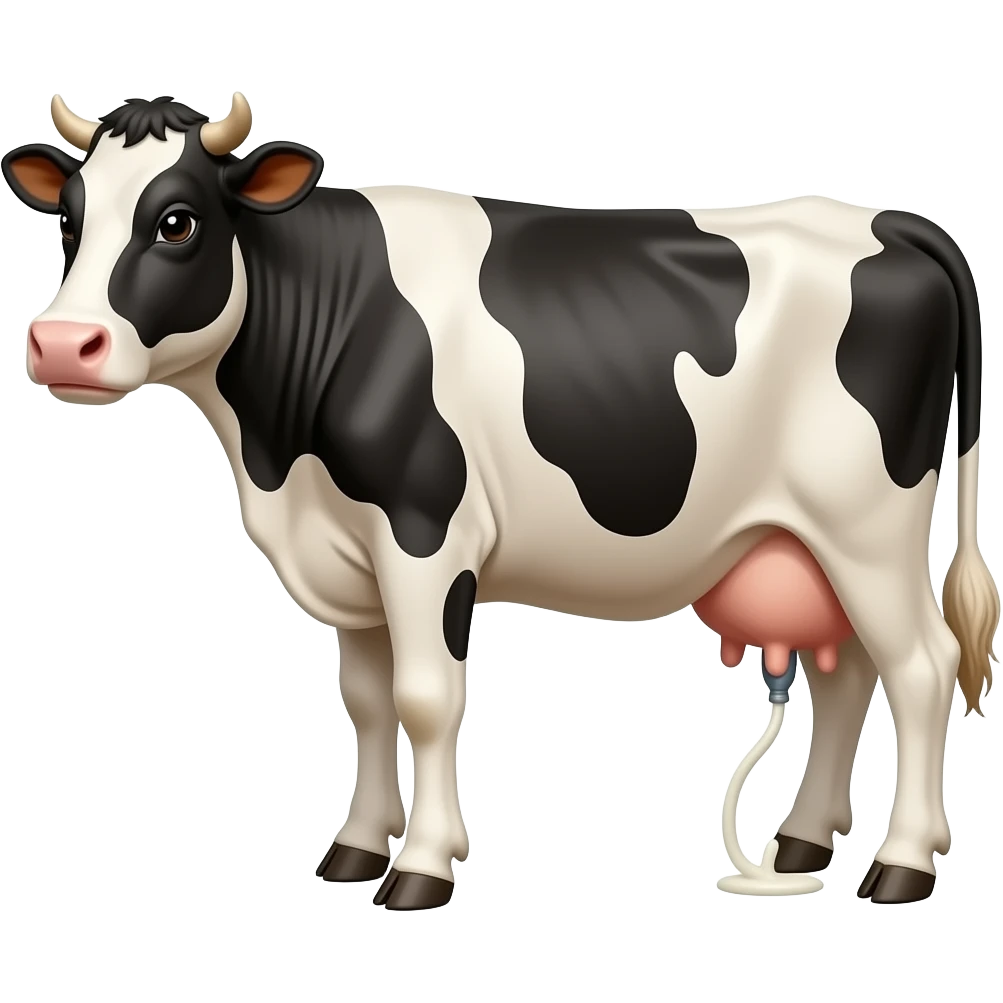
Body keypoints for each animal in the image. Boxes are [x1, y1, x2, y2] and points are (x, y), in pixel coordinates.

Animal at [4, 92, 998, 910]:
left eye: (176, 221)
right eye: (70, 219)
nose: (62, 343)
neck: (277, 453)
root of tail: (889, 218)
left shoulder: (424, 534)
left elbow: (426, 697)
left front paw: (420, 868)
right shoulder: (351, 556)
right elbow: (366, 700)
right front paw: (355, 849)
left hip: (866, 525)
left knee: (921, 666)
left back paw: (900, 864)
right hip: (810, 539)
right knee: (848, 674)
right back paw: (800, 843)